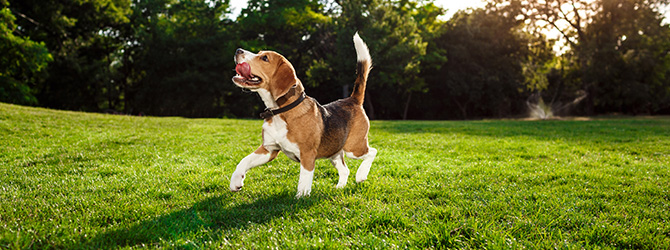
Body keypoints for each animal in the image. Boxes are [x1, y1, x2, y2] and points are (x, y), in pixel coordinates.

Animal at [231, 33, 378, 197]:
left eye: (264, 58)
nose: (238, 50)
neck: (280, 111)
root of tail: (352, 100)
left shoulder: (307, 154)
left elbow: (304, 179)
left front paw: (301, 198)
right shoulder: (269, 149)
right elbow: (244, 161)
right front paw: (235, 181)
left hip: (354, 148)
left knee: (373, 152)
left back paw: (361, 175)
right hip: (334, 152)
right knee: (345, 170)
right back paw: (340, 187)